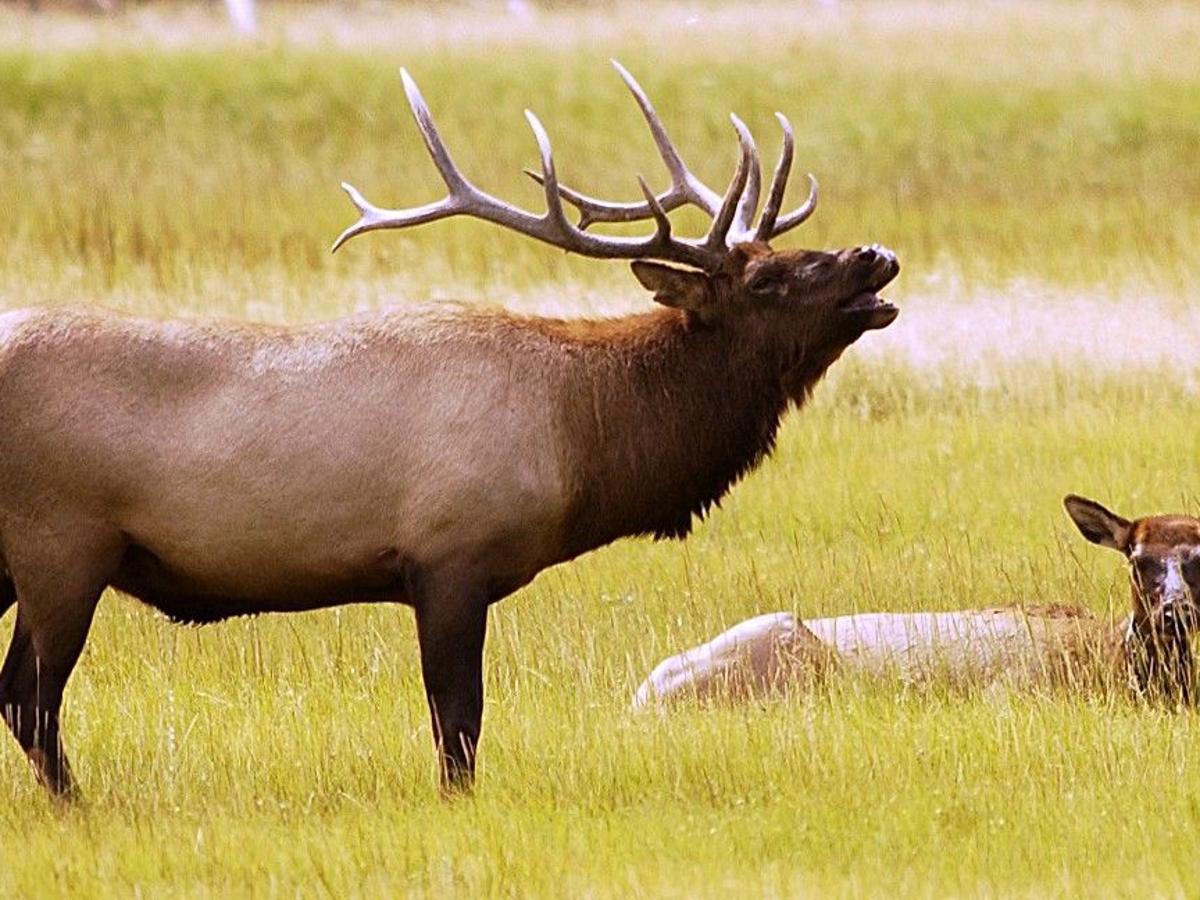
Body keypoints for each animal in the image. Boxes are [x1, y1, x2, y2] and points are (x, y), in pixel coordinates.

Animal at [0, 62, 900, 799]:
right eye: (770, 280)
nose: (876, 255)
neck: (579, 435)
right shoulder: (449, 556)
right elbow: (458, 724)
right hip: (61, 547)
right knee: (29, 698)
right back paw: (81, 805)